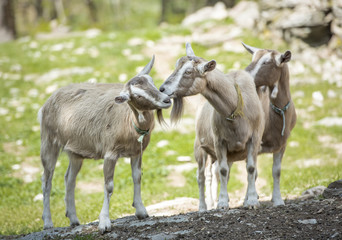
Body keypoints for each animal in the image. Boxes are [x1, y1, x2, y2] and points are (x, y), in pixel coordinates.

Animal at [38, 55, 171, 232]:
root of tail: (47, 102)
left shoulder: (137, 151)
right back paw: (47, 222)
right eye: (138, 96)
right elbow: (109, 186)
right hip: (49, 140)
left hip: (75, 151)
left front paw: (141, 211)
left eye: (153, 83)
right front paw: (104, 223)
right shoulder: (110, 153)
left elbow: (137, 177)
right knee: (47, 180)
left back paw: (73, 219)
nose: (166, 100)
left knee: (69, 179)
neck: (128, 122)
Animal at [160, 43, 264, 210]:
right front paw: (222, 204)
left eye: (188, 71)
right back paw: (204, 206)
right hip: (200, 149)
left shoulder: (254, 139)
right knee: (202, 176)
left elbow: (251, 169)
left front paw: (252, 201)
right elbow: (222, 170)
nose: (162, 89)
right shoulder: (219, 141)